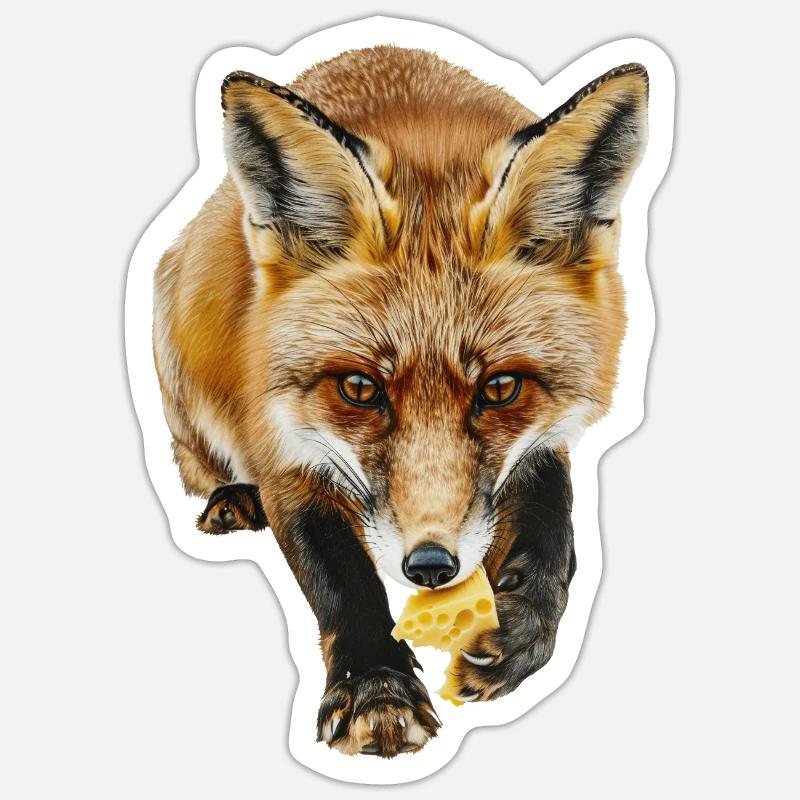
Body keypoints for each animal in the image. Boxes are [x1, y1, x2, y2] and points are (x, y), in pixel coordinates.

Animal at [153, 46, 648, 758]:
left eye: (500, 389)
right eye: (360, 390)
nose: (432, 566)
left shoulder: (547, 440)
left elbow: (557, 535)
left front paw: (519, 632)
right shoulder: (282, 445)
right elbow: (341, 578)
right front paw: (374, 688)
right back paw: (232, 500)